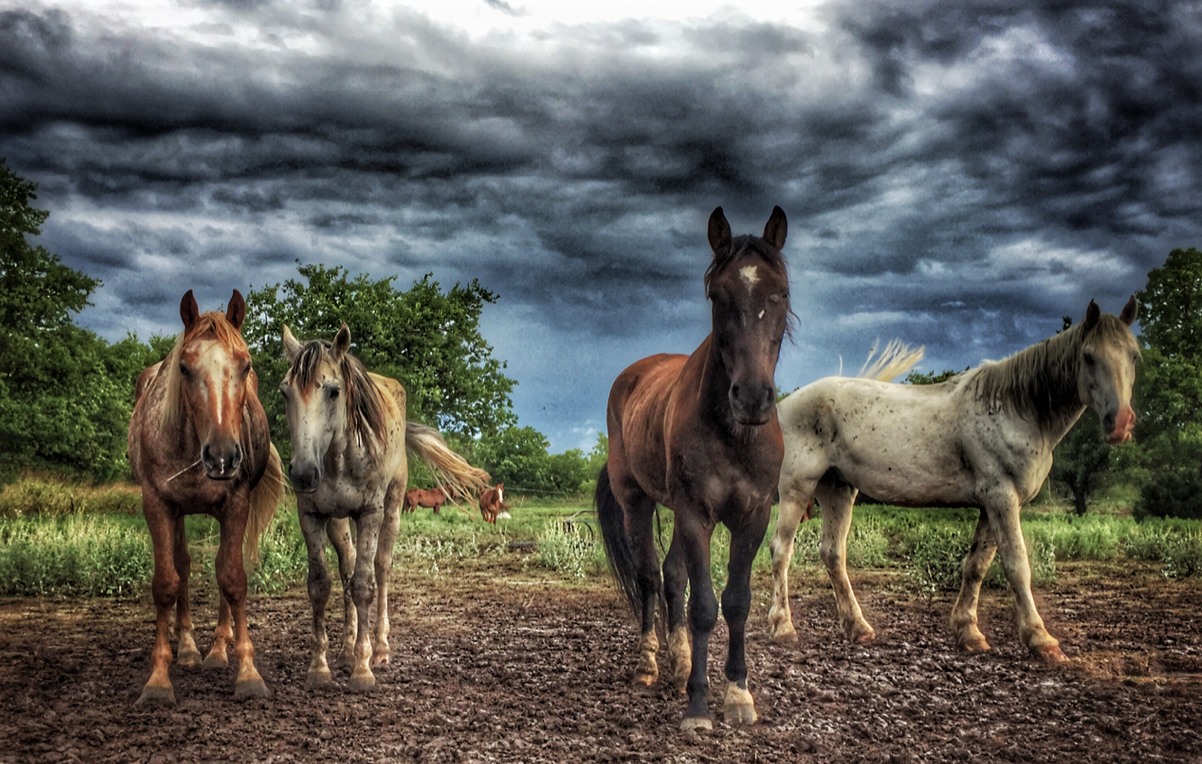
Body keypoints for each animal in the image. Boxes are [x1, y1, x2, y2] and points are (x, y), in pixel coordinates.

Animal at [127, 288, 283, 706]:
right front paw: (158, 678)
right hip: (178, 513)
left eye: (245, 366)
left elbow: (232, 578)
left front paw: (248, 673)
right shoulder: (157, 505)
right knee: (182, 565)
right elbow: (167, 582)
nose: (223, 456)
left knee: (220, 569)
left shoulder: (236, 504)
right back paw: (188, 649)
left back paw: (216, 650)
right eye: (184, 368)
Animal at [278, 321, 490, 691]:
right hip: (339, 522)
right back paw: (347, 649)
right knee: (347, 566)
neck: (338, 459)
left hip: (390, 511)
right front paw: (320, 667)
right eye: (284, 393)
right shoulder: (312, 516)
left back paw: (379, 648)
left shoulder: (370, 513)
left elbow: (365, 586)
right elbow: (320, 586)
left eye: (333, 391)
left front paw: (363, 669)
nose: (304, 472)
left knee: (381, 568)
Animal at [596, 205, 793, 730]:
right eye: (717, 295)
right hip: (638, 502)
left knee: (671, 575)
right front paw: (699, 706)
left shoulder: (753, 517)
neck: (733, 432)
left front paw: (739, 695)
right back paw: (648, 663)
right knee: (649, 576)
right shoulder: (694, 514)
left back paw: (681, 660)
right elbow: (705, 605)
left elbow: (736, 602)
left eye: (782, 292)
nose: (752, 397)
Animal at [764, 297, 1139, 663]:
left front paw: (968, 632)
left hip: (838, 490)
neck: (1016, 409)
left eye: (1134, 355)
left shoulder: (992, 504)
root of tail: (784, 406)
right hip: (797, 488)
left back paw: (858, 627)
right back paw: (783, 628)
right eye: (1088, 356)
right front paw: (1041, 639)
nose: (1120, 422)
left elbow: (976, 566)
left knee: (833, 554)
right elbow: (1017, 566)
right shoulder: (1002, 499)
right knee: (781, 550)